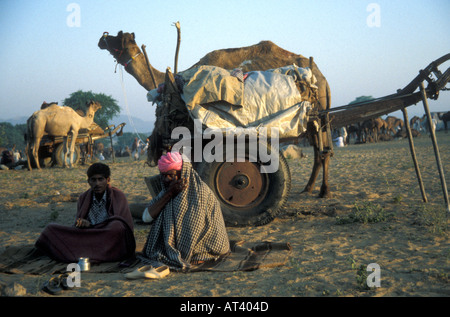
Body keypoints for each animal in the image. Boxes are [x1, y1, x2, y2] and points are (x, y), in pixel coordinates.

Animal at [98, 30, 334, 196]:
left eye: (119, 38)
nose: (102, 38)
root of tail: (321, 78)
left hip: (318, 112)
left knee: (324, 149)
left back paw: (324, 191)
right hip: (313, 117)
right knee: (320, 149)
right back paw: (309, 188)